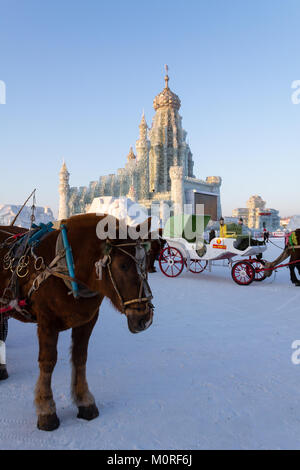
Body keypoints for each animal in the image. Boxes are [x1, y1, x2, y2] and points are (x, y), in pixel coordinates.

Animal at [0, 215, 155, 432]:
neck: (68, 267)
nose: (144, 318)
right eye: (123, 265)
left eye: (145, 262)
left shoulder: (87, 321)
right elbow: (48, 362)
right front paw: (46, 410)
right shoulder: (46, 323)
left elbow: (80, 358)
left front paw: (84, 401)